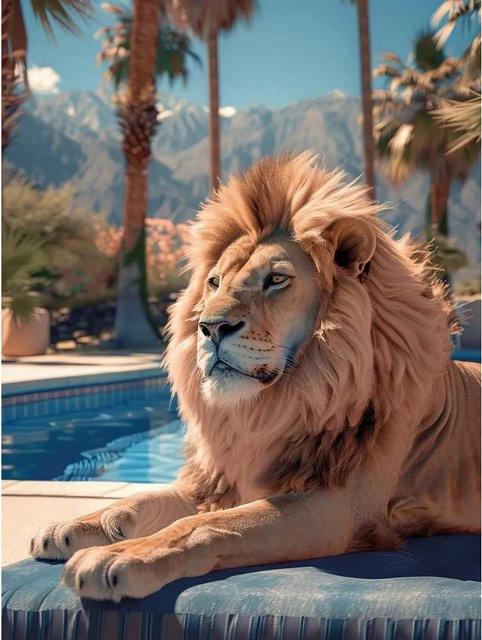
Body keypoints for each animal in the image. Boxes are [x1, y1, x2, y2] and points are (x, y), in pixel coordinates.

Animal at [31, 152, 481, 602]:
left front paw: (119, 555)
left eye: (276, 279)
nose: (211, 327)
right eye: (214, 282)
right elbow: (151, 497)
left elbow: (200, 525)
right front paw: (79, 525)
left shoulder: (342, 505)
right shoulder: (221, 480)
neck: (271, 409)